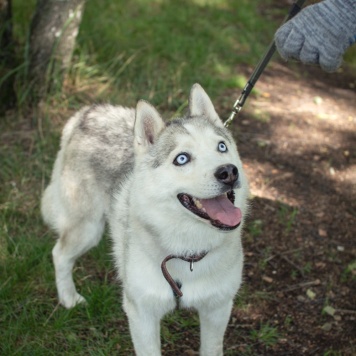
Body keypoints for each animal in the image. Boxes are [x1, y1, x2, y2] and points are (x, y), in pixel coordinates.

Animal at [41, 85, 248, 354]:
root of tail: (89, 111)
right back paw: (68, 297)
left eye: (221, 147)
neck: (187, 251)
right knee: (59, 254)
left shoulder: (218, 309)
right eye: (182, 158)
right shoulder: (141, 314)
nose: (229, 172)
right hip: (87, 229)